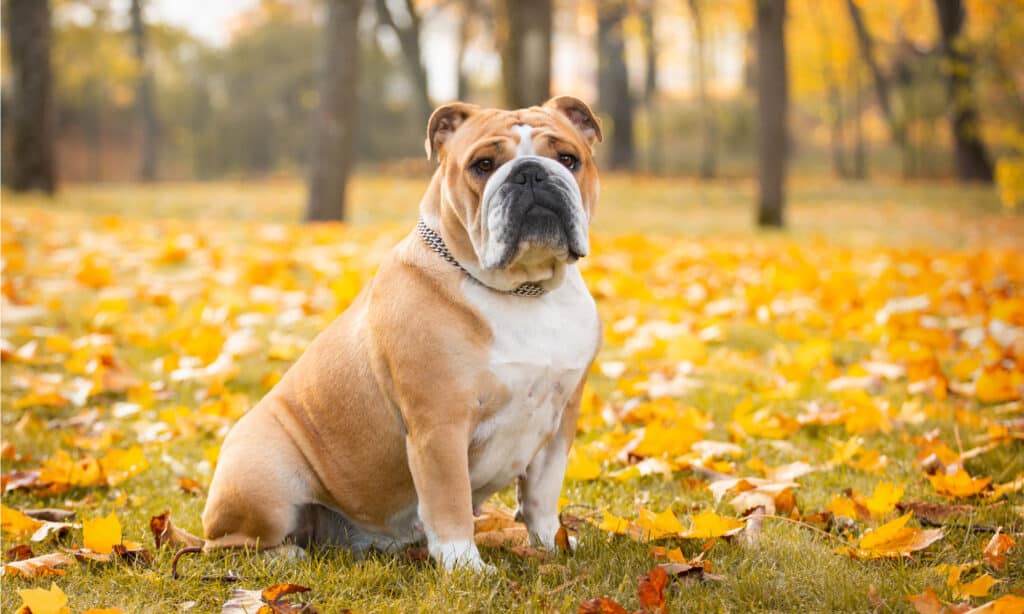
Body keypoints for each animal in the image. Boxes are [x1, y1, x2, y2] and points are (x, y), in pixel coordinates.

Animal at [199, 96, 598, 568]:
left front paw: (553, 543)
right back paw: (283, 556)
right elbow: (450, 501)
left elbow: (541, 494)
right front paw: (465, 567)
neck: (525, 290)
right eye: (483, 165)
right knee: (229, 544)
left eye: (568, 159)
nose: (531, 172)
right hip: (263, 475)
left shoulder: (560, 420)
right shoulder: (439, 425)